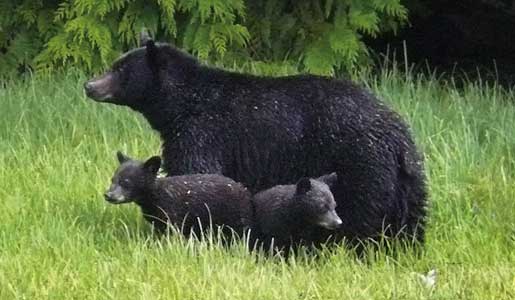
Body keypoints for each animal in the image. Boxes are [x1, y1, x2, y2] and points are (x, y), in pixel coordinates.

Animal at [85, 35, 428, 245]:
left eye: (119, 70)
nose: (89, 85)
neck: (183, 103)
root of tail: (397, 136)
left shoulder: (204, 133)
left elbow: (195, 172)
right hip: (408, 179)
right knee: (411, 219)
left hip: (362, 164)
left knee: (362, 215)